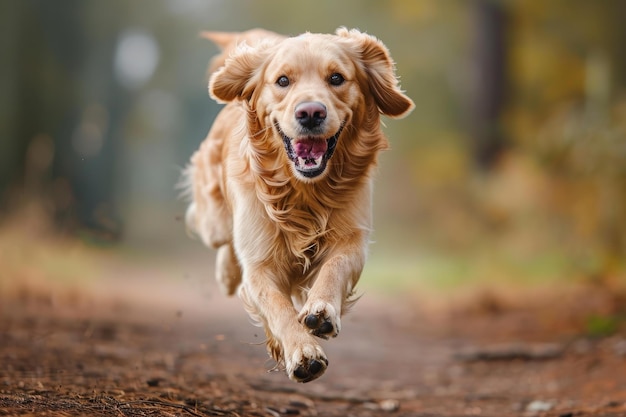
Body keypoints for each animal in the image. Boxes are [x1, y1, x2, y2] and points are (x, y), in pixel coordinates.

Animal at [183, 27, 412, 382]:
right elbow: (277, 307)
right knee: (224, 242)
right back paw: (227, 274)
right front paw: (302, 352)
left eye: (336, 77)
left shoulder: (353, 238)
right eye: (282, 81)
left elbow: (334, 268)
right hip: (214, 222)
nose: (311, 113)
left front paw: (322, 310)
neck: (304, 192)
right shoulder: (260, 262)